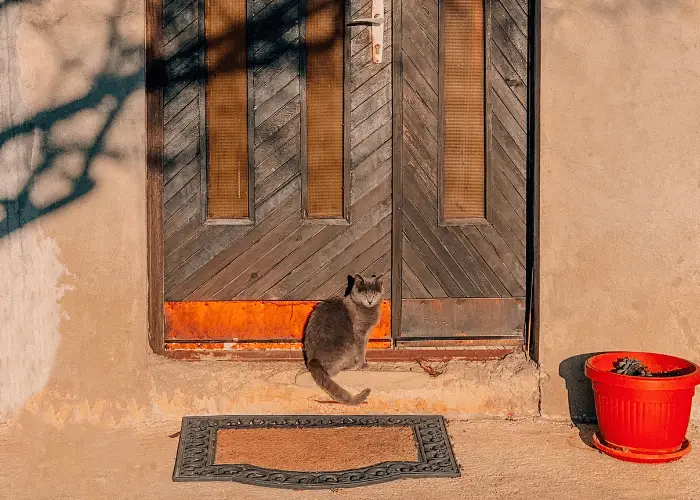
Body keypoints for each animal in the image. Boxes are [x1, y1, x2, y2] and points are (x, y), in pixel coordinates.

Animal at [304, 274, 386, 406]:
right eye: (364, 294)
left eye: (374, 294)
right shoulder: (360, 332)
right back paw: (352, 366)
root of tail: (312, 360)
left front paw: (364, 361)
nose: (370, 301)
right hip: (348, 345)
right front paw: (362, 364)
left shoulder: (367, 333)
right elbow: (361, 349)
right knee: (332, 371)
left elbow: (364, 347)